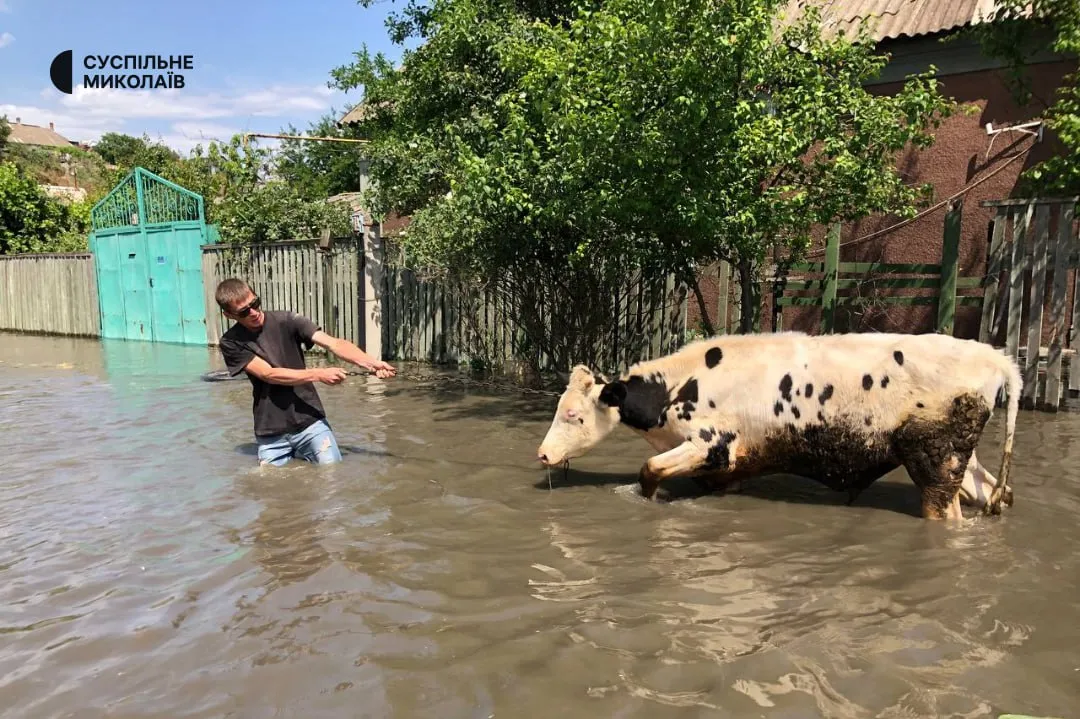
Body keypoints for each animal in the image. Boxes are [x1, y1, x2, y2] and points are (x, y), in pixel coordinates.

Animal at [540, 330, 1019, 520]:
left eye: (574, 415)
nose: (543, 454)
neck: (679, 385)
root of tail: (994, 357)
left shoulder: (712, 444)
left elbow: (649, 471)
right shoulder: (727, 468)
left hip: (936, 464)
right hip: (960, 462)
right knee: (1000, 493)